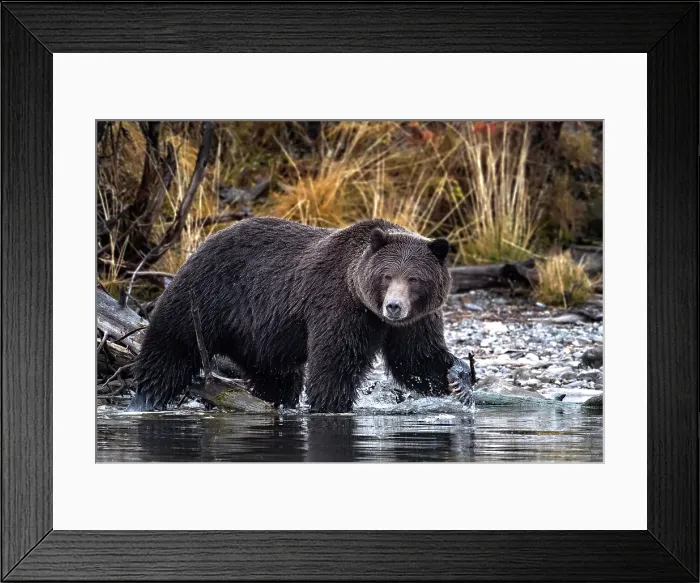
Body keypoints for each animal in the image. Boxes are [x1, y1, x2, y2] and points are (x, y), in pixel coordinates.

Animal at [126, 217, 466, 413]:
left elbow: (415, 359)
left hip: (258, 337)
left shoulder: (416, 320)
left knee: (276, 376)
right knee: (172, 347)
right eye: (386, 276)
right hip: (207, 297)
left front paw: (457, 379)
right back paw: (145, 399)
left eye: (414, 279)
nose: (394, 306)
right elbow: (336, 359)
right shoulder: (338, 305)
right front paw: (332, 404)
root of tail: (202, 244)